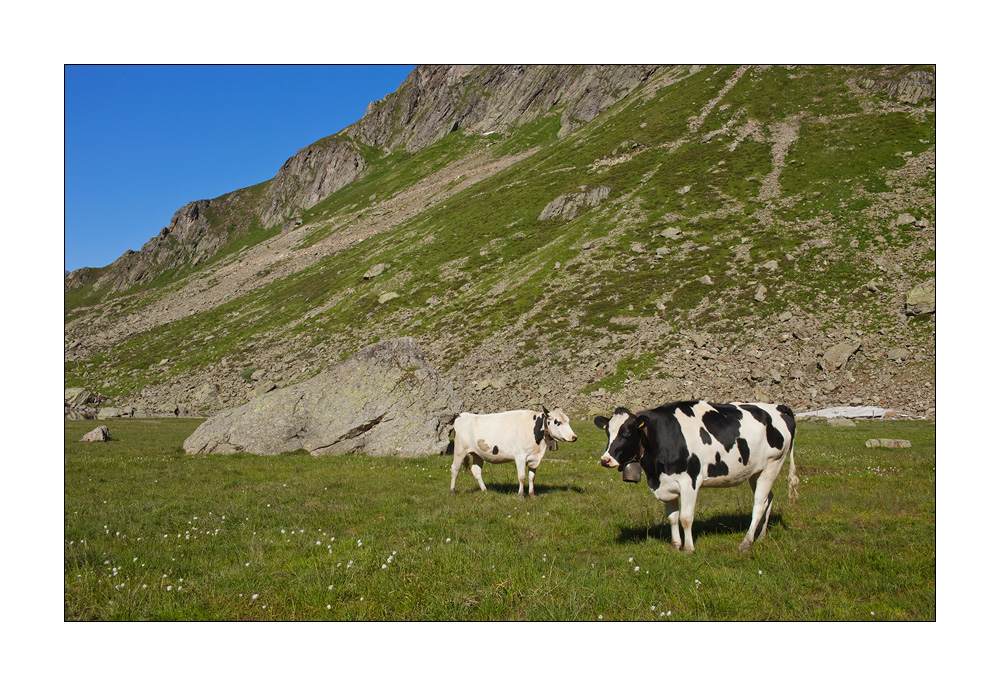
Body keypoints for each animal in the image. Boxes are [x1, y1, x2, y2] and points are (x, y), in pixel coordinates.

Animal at [594, 401, 798, 553]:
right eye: (607, 432)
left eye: (626, 433)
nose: (605, 460)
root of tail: (779, 407)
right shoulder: (666, 483)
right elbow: (672, 517)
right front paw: (675, 545)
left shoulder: (689, 482)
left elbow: (686, 517)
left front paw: (689, 548)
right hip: (755, 472)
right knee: (768, 499)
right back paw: (761, 536)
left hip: (772, 465)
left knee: (758, 504)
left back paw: (746, 543)